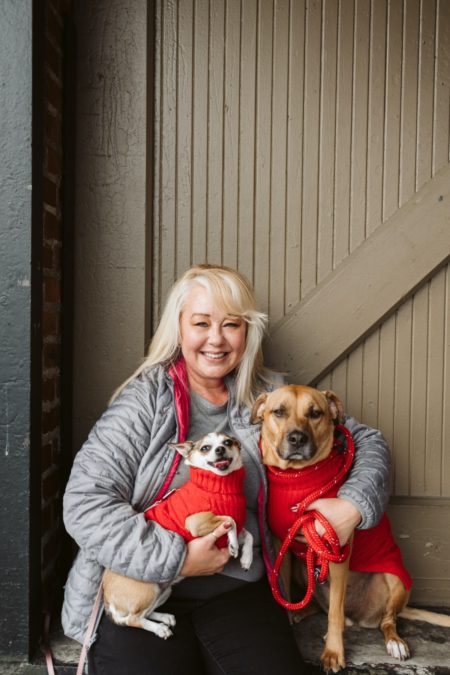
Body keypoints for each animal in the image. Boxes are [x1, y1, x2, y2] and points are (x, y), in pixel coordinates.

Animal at [253, 388, 450, 672]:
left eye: (315, 413)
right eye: (278, 411)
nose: (297, 438)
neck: (298, 478)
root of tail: (360, 618)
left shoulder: (337, 551)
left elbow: (335, 613)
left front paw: (334, 652)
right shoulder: (283, 545)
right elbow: (286, 591)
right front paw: (290, 614)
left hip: (396, 580)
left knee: (385, 621)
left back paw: (395, 642)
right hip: (304, 568)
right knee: (320, 605)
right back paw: (303, 612)